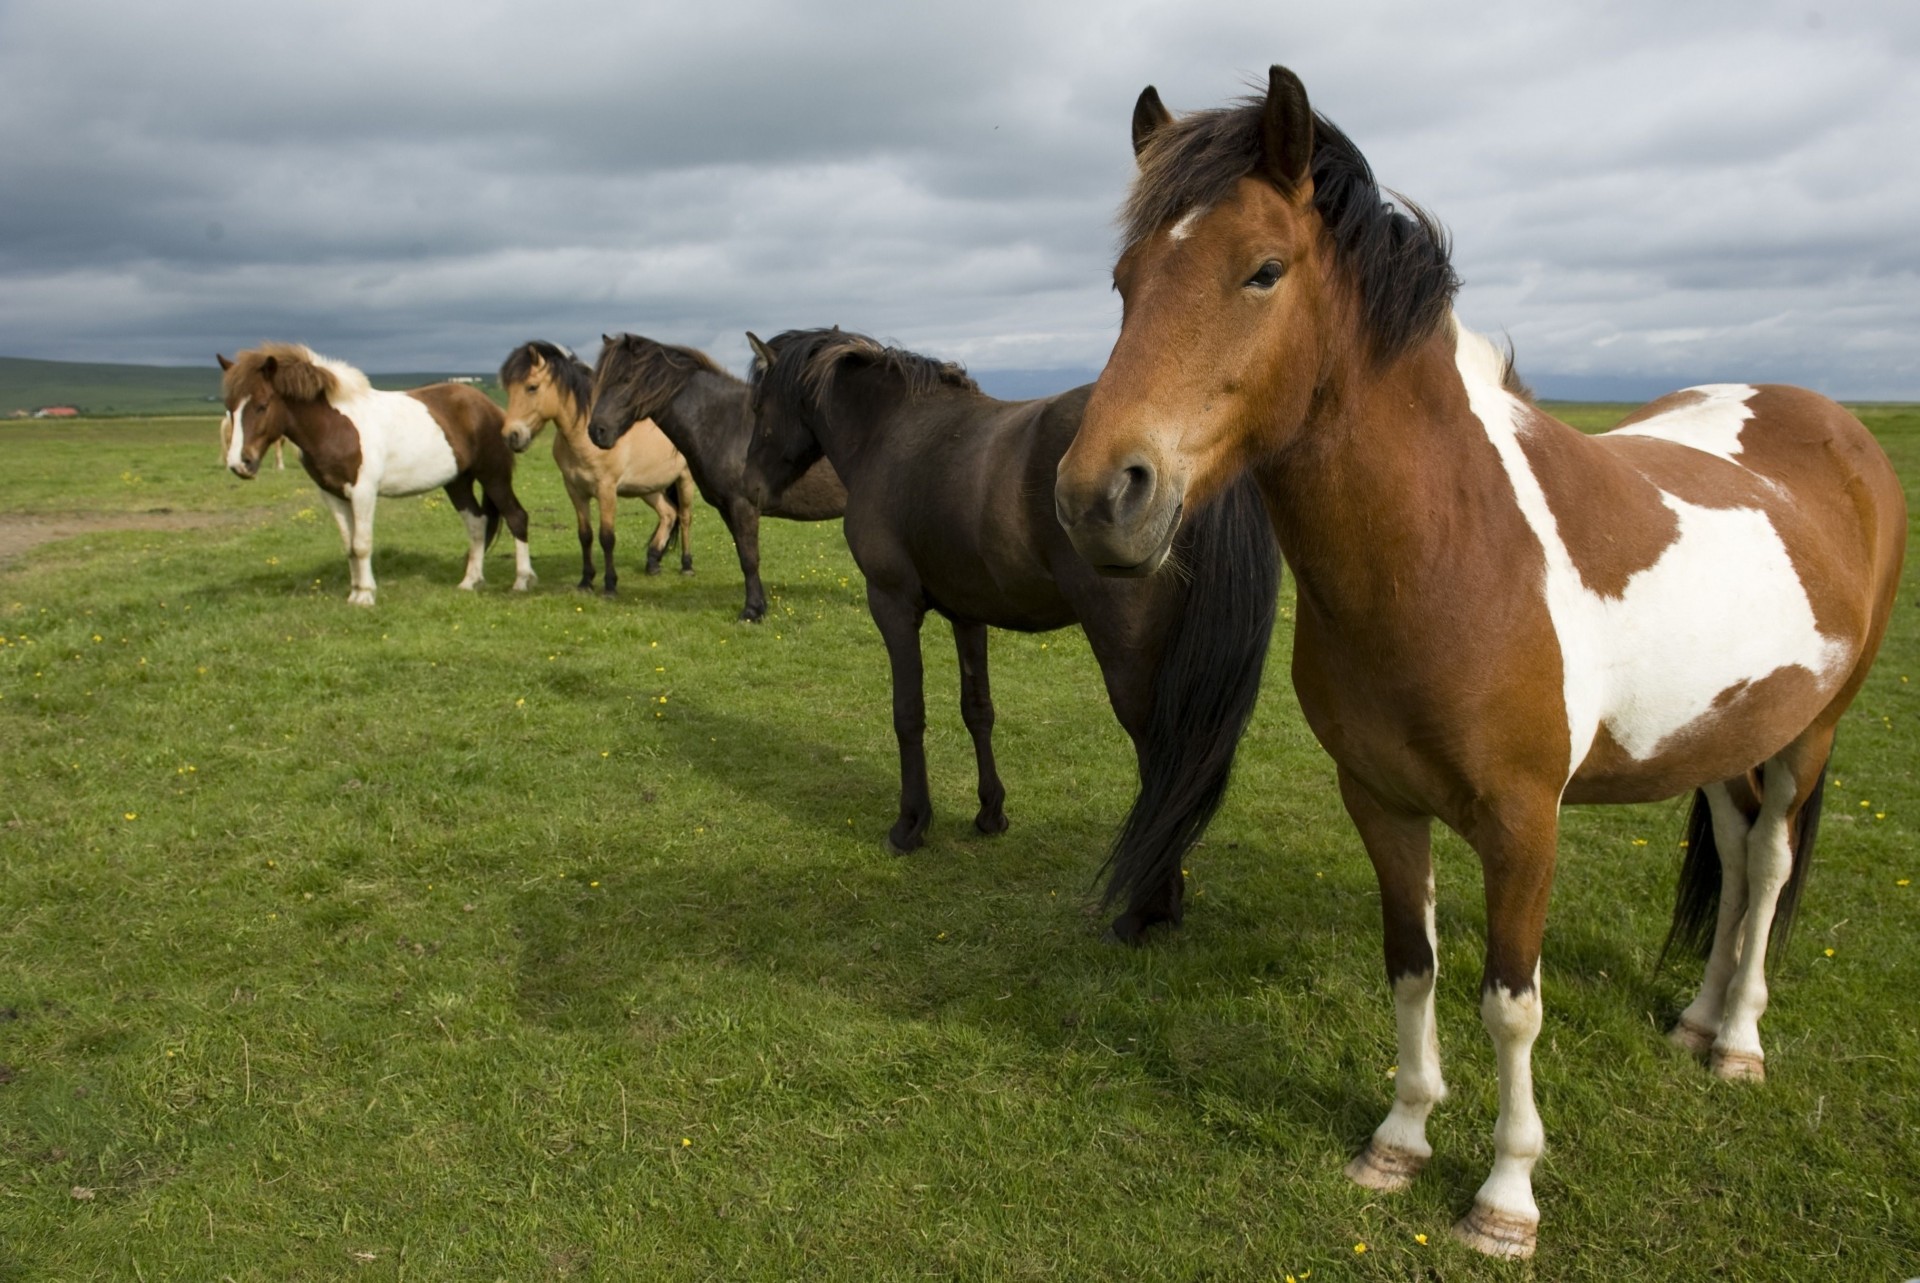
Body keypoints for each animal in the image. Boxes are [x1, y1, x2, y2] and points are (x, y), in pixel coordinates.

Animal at [219, 343, 536, 606]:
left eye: (262, 405)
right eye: (229, 407)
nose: (239, 463)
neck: (333, 426)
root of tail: (490, 407)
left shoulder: (363, 491)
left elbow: (361, 544)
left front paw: (366, 595)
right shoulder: (332, 495)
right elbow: (349, 546)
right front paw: (355, 593)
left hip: (493, 475)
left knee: (516, 516)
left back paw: (522, 581)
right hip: (458, 481)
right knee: (477, 523)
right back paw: (470, 581)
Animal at [499, 340, 696, 593]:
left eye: (531, 387)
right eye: (508, 390)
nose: (511, 436)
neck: (585, 437)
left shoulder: (606, 490)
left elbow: (607, 537)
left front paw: (610, 585)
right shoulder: (575, 490)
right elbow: (585, 535)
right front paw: (586, 581)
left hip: (685, 480)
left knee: (684, 517)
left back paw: (687, 565)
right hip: (648, 487)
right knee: (668, 513)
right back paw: (653, 563)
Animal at [585, 334, 847, 622]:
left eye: (626, 378)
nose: (597, 431)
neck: (723, 423)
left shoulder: (743, 506)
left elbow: (750, 558)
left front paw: (751, 612)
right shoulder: (726, 509)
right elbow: (744, 556)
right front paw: (759, 606)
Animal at [742, 327, 1279, 940]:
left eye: (757, 407)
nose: (748, 487)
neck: (891, 430)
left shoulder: (893, 604)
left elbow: (908, 714)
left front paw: (911, 823)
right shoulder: (968, 613)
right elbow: (978, 710)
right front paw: (990, 812)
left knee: (1161, 758)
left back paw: (1147, 910)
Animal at [1052, 68, 1905, 1258]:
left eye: (1263, 270)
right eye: (1126, 282)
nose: (1101, 497)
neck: (1451, 548)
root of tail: (1830, 421)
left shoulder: (1522, 821)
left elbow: (1512, 1001)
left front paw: (1506, 1196)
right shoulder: (1379, 801)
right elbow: (1412, 964)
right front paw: (1399, 1140)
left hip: (1810, 734)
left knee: (1774, 864)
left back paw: (1737, 1039)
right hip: (1724, 733)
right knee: (1738, 863)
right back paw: (1694, 1020)